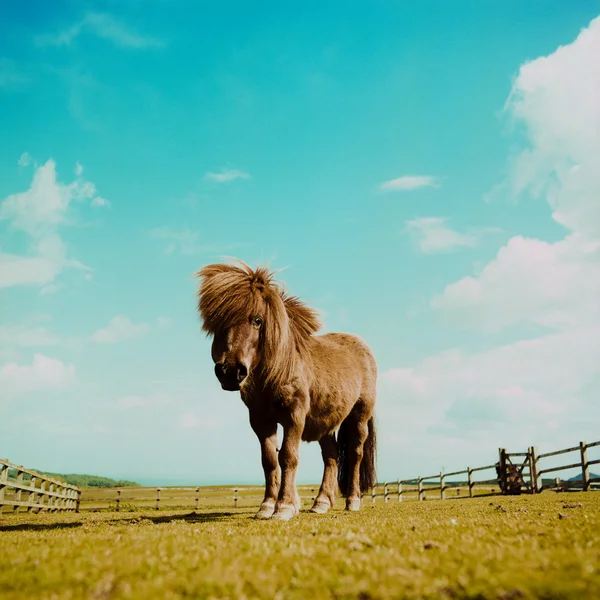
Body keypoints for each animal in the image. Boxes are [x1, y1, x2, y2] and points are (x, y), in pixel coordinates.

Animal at [195, 258, 378, 520]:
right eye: (218, 323)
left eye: (257, 320)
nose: (230, 371)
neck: (276, 371)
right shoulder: (260, 420)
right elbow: (270, 459)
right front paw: (267, 506)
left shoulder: (294, 415)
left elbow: (288, 456)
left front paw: (284, 507)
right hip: (325, 423)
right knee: (331, 456)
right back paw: (321, 502)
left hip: (359, 417)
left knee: (354, 454)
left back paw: (352, 500)